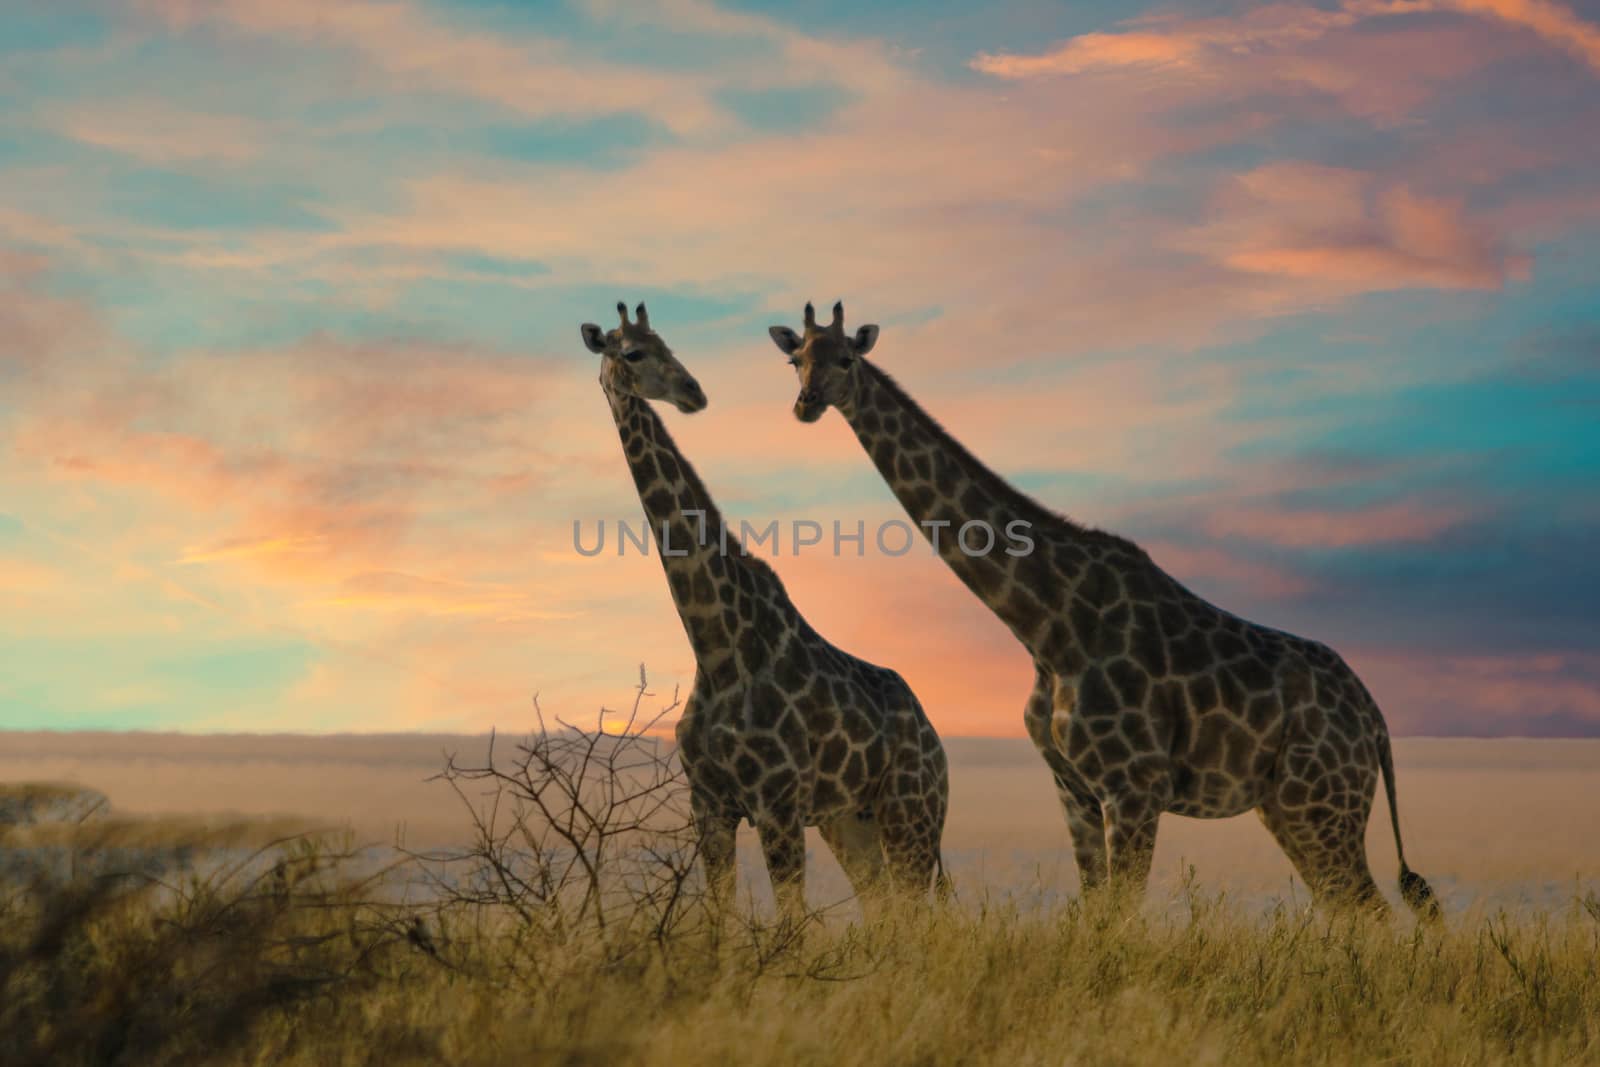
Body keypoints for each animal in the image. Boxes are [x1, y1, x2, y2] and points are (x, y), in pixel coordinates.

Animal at [579, 302, 940, 921]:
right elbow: (720, 918)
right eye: (632, 352)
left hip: (912, 812)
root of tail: (935, 737)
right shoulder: (711, 805)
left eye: (669, 344)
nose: (693, 391)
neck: (715, 646)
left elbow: (790, 922)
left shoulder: (778, 803)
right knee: (884, 908)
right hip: (852, 822)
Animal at [768, 302, 1446, 921]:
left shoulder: (1133, 788)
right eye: (796, 359)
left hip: (1322, 799)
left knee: (1370, 909)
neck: (1044, 626)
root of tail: (1375, 720)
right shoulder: (1074, 789)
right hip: (1287, 804)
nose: (805, 404)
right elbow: (1096, 912)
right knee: (1349, 908)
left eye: (847, 359)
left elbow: (1121, 918)